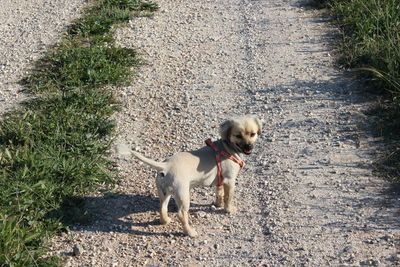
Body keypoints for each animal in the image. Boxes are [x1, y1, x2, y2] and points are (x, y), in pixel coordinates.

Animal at [132, 116, 262, 238]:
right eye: (238, 136)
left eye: (252, 134)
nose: (249, 146)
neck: (227, 148)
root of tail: (166, 165)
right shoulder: (229, 181)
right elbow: (228, 197)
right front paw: (229, 209)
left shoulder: (220, 181)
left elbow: (219, 193)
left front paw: (218, 204)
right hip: (183, 195)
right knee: (181, 214)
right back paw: (190, 232)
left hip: (164, 193)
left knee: (162, 207)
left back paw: (166, 221)